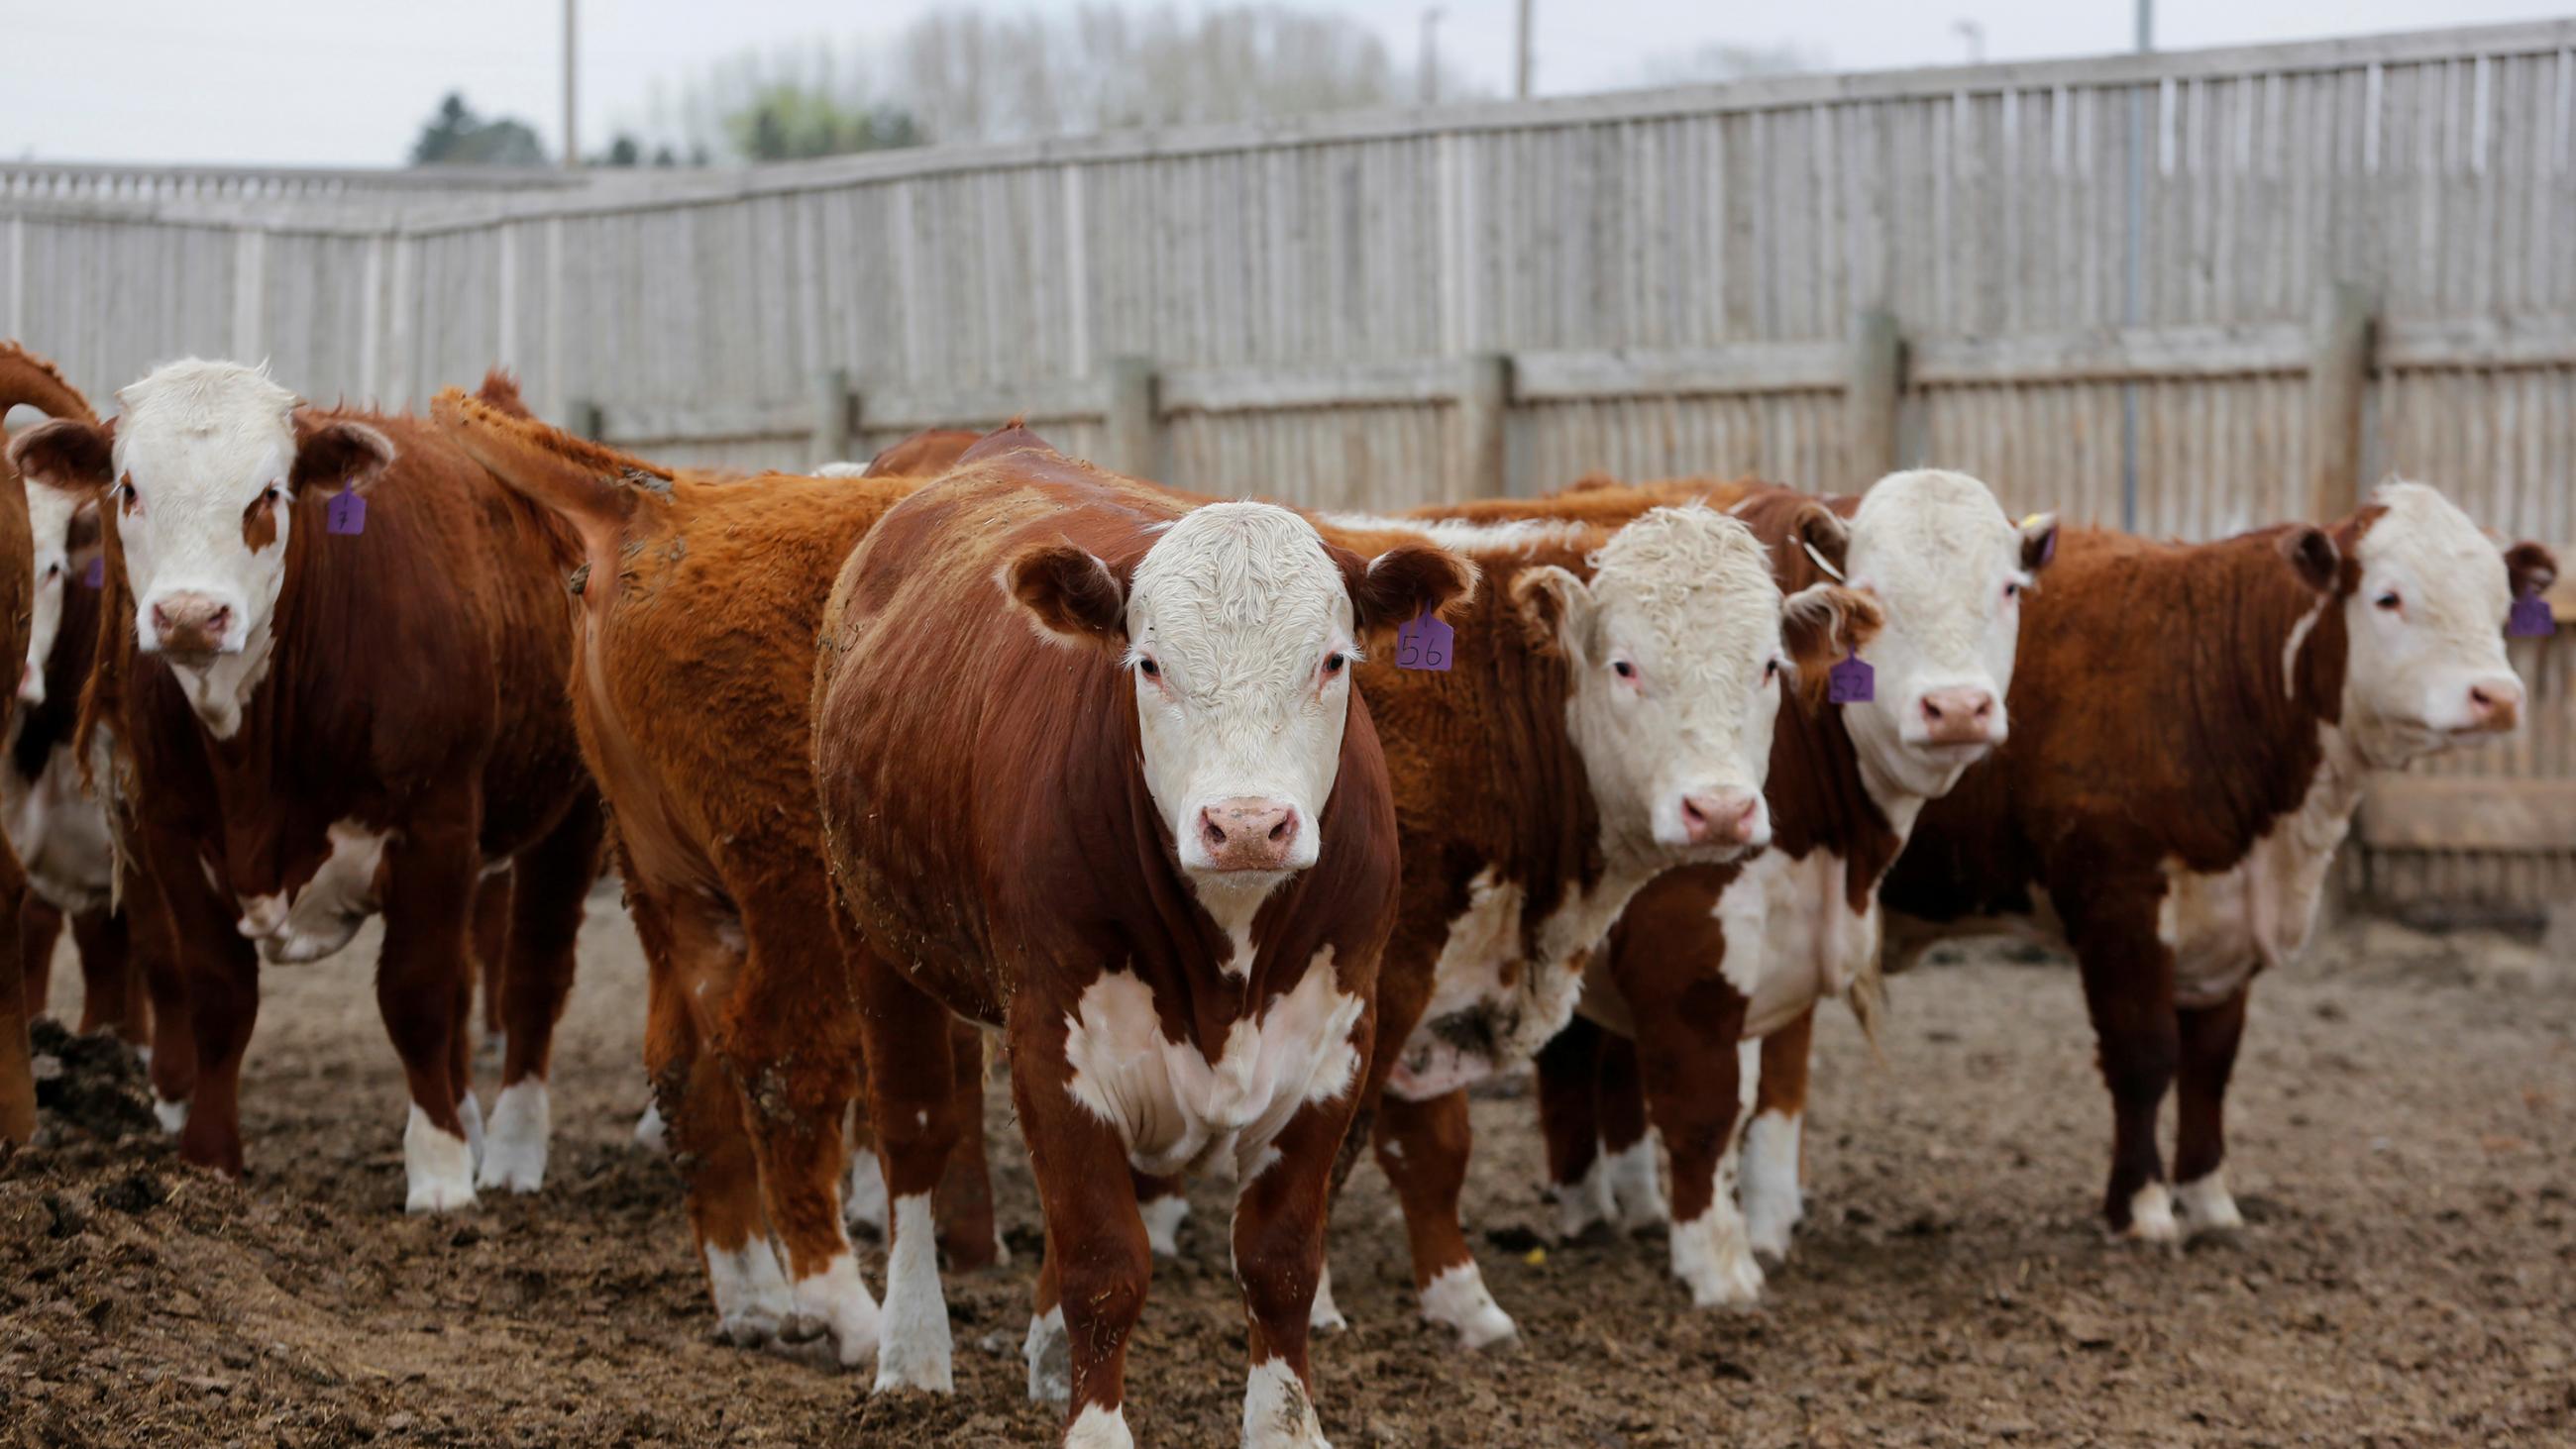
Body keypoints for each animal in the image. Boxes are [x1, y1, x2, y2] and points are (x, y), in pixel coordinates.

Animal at [11, 362, 602, 1214]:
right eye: (128, 488)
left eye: (268, 492)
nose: (190, 614)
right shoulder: (172, 833)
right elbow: (217, 995)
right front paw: (211, 1159)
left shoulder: (435, 826)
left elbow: (417, 996)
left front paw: (440, 1171)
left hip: (573, 812)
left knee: (533, 973)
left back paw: (514, 1148)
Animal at [427, 390, 999, 1369]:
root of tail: (659, 500)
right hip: (797, 878)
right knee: (778, 1058)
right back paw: (843, 1309)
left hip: (668, 884)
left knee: (684, 1067)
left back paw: (752, 1297)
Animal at [813, 424, 1483, 1441]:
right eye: (1150, 664)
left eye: (1333, 660)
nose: (1246, 824)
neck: (1228, 956)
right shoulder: (1052, 1038)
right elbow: (1104, 1263)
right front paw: (1092, 1425)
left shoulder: (1335, 1042)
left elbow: (1281, 1263)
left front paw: (1284, 1426)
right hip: (874, 932)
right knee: (915, 1140)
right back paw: (913, 1355)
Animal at [1514, 470, 2061, 1307]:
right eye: (1873, 593)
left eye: (2007, 587)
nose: (1957, 707)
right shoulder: (1687, 956)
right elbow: (1705, 1108)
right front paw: (1717, 1266)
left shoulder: (1793, 941)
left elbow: (1777, 1095)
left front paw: (1767, 1227)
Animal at [1792, 483, 2555, 1245]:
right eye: (2389, 597)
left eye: (2499, 600)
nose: (2498, 695)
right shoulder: (2119, 899)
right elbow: (2145, 1054)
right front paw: (2141, 1206)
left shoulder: (2225, 916)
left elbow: (2209, 1064)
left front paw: (2209, 1199)